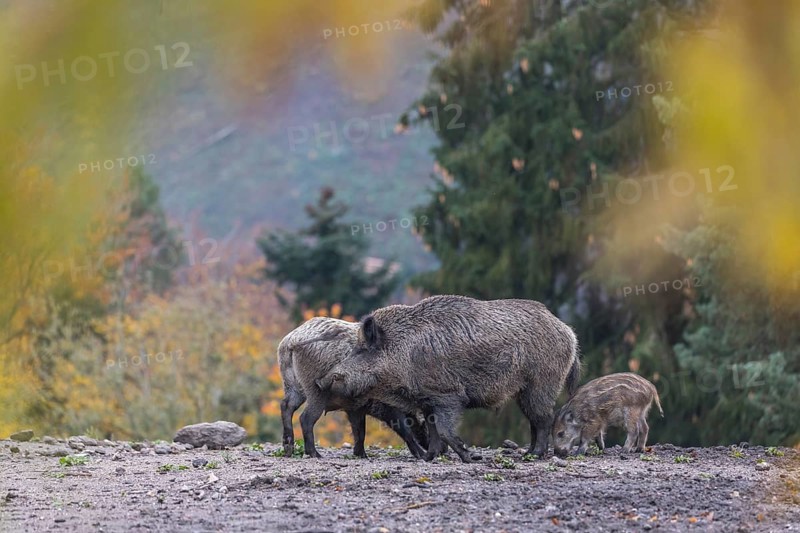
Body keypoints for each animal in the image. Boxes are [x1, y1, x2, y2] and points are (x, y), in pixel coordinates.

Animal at [278, 317, 427, 459]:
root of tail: (290, 340)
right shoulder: (383, 405)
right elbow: (403, 428)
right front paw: (421, 455)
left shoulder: (355, 407)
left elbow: (360, 431)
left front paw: (361, 455)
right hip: (315, 391)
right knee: (305, 418)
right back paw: (316, 455)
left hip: (293, 385)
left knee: (286, 405)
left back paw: (288, 450)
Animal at [315, 295, 581, 462]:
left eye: (362, 350)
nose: (322, 381)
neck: (405, 353)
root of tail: (568, 332)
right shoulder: (427, 401)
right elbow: (433, 430)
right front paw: (430, 458)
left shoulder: (447, 396)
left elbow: (443, 429)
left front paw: (470, 458)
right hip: (525, 391)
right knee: (534, 420)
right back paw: (529, 453)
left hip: (542, 382)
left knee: (544, 418)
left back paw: (533, 456)